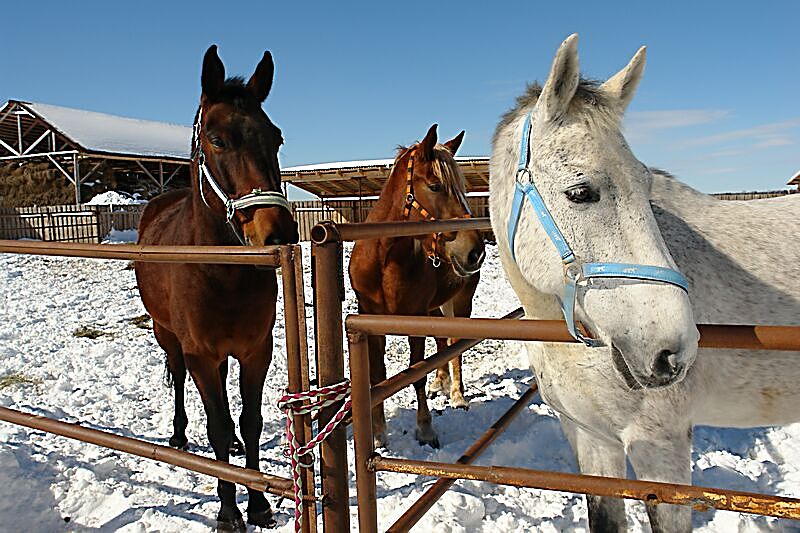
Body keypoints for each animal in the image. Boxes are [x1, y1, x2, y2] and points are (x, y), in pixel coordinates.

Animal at [136, 46, 298, 532]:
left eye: (276, 138)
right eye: (217, 139)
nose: (278, 232)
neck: (222, 272)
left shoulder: (255, 350)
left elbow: (248, 422)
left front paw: (259, 502)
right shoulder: (201, 354)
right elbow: (219, 427)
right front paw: (229, 510)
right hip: (167, 336)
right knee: (179, 382)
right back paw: (178, 434)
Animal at [348, 125, 484, 448]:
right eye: (435, 186)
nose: (475, 251)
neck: (383, 262)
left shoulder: (414, 321)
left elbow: (416, 374)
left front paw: (425, 429)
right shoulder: (370, 323)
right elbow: (377, 377)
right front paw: (378, 432)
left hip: (460, 303)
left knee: (456, 345)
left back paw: (457, 395)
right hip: (435, 308)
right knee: (442, 342)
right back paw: (440, 383)